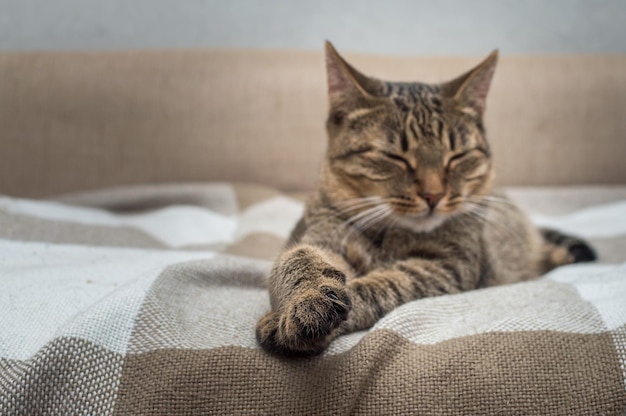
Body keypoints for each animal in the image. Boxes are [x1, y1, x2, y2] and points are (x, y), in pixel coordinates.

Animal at [255, 40, 596, 356]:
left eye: (457, 156)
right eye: (394, 157)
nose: (434, 195)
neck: (390, 234)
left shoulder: (448, 267)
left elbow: (385, 285)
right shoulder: (318, 236)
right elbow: (296, 259)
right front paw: (307, 301)